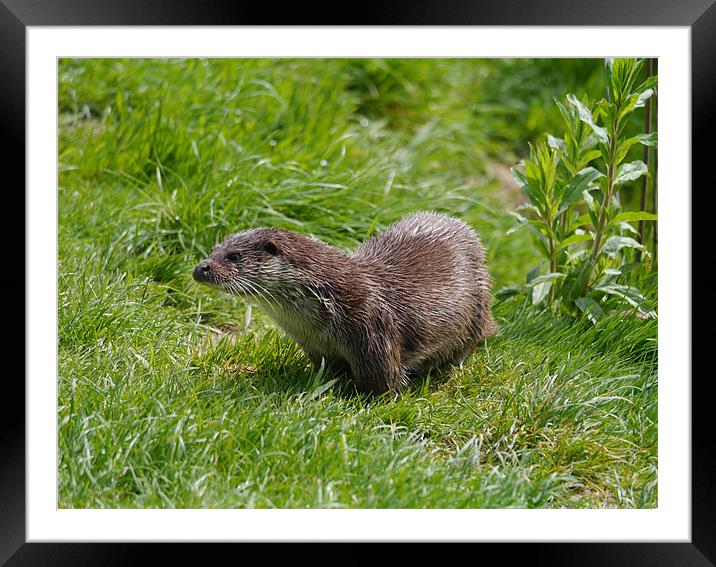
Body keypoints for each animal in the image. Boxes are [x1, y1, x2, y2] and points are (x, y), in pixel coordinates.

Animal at [193, 213, 496, 394]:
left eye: (234, 256)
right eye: (213, 250)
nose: (201, 268)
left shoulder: (374, 330)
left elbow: (383, 382)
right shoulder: (313, 344)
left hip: (476, 309)